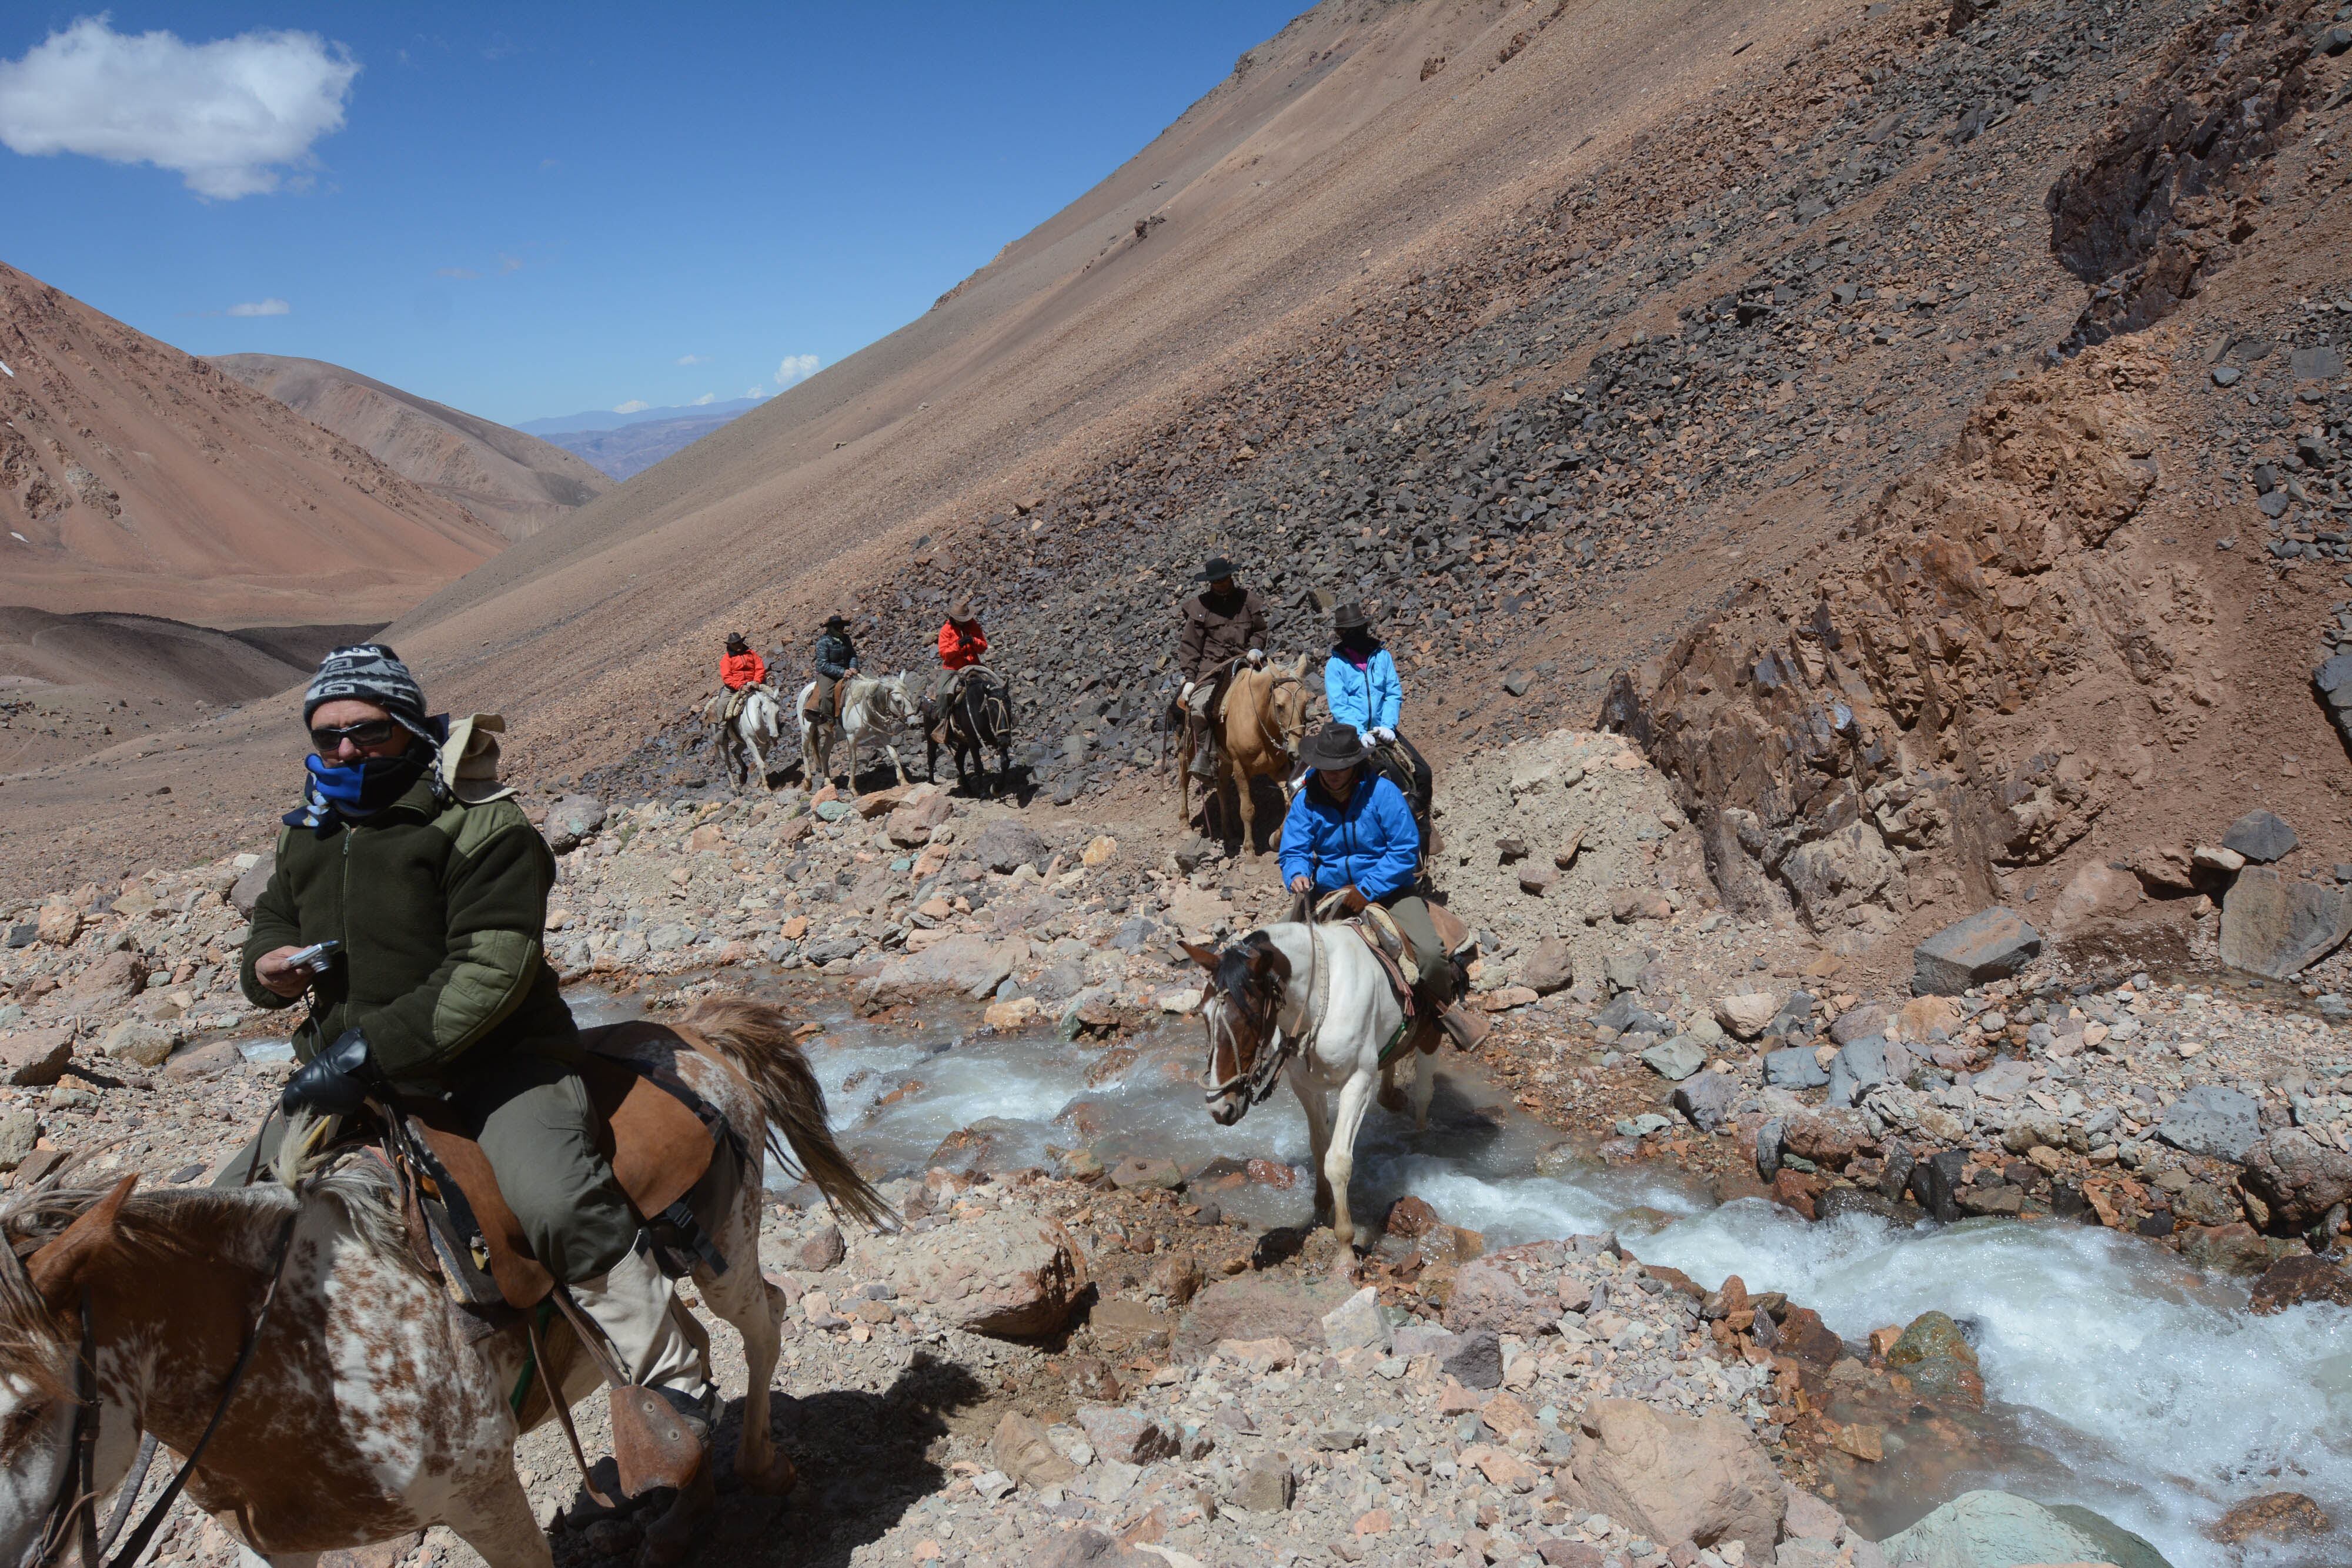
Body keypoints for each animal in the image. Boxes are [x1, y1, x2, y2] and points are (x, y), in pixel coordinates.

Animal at [0, 1001, 889, 1568]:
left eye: (29, 1409)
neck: (297, 1353)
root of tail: (695, 1031)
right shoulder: (282, 1546)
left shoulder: (484, 1495)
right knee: (685, 1367)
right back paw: (678, 1509)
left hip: (724, 1250)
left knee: (761, 1321)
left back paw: (758, 1469)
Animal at [800, 677, 927, 799]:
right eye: (898, 701)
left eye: (910, 697)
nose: (913, 723)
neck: (865, 710)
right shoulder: (851, 738)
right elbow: (853, 762)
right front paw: (853, 790)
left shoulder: (882, 734)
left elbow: (893, 754)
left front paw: (903, 781)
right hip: (807, 731)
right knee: (805, 752)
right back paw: (807, 783)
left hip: (831, 735)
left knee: (824, 753)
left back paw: (828, 783)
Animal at [927, 667, 1011, 799]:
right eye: (992, 708)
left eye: (1010, 706)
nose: (1006, 741)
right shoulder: (973, 741)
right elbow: (978, 766)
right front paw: (982, 792)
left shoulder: (996, 738)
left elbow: (1005, 762)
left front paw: (996, 788)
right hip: (931, 735)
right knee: (931, 757)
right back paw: (931, 783)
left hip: (963, 742)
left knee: (958, 760)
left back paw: (968, 789)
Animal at [1176, 658, 1327, 865]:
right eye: (1279, 706)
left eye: (1306, 702)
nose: (1296, 751)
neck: (1258, 722)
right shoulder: (1240, 767)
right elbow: (1247, 810)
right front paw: (1250, 853)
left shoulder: (1278, 768)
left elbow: (1289, 801)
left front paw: (1276, 839)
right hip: (1188, 749)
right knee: (1184, 779)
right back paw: (1184, 824)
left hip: (1225, 761)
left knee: (1222, 787)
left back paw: (1229, 832)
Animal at [1185, 921, 1439, 1251]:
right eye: (1203, 1012)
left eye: (1250, 1017)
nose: (1220, 1108)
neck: (1319, 1000)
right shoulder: (1305, 1086)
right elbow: (1319, 1147)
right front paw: (1321, 1207)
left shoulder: (1358, 1082)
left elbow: (1338, 1161)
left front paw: (1345, 1244)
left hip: (1431, 1037)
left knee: (1424, 1094)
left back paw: (1419, 1138)